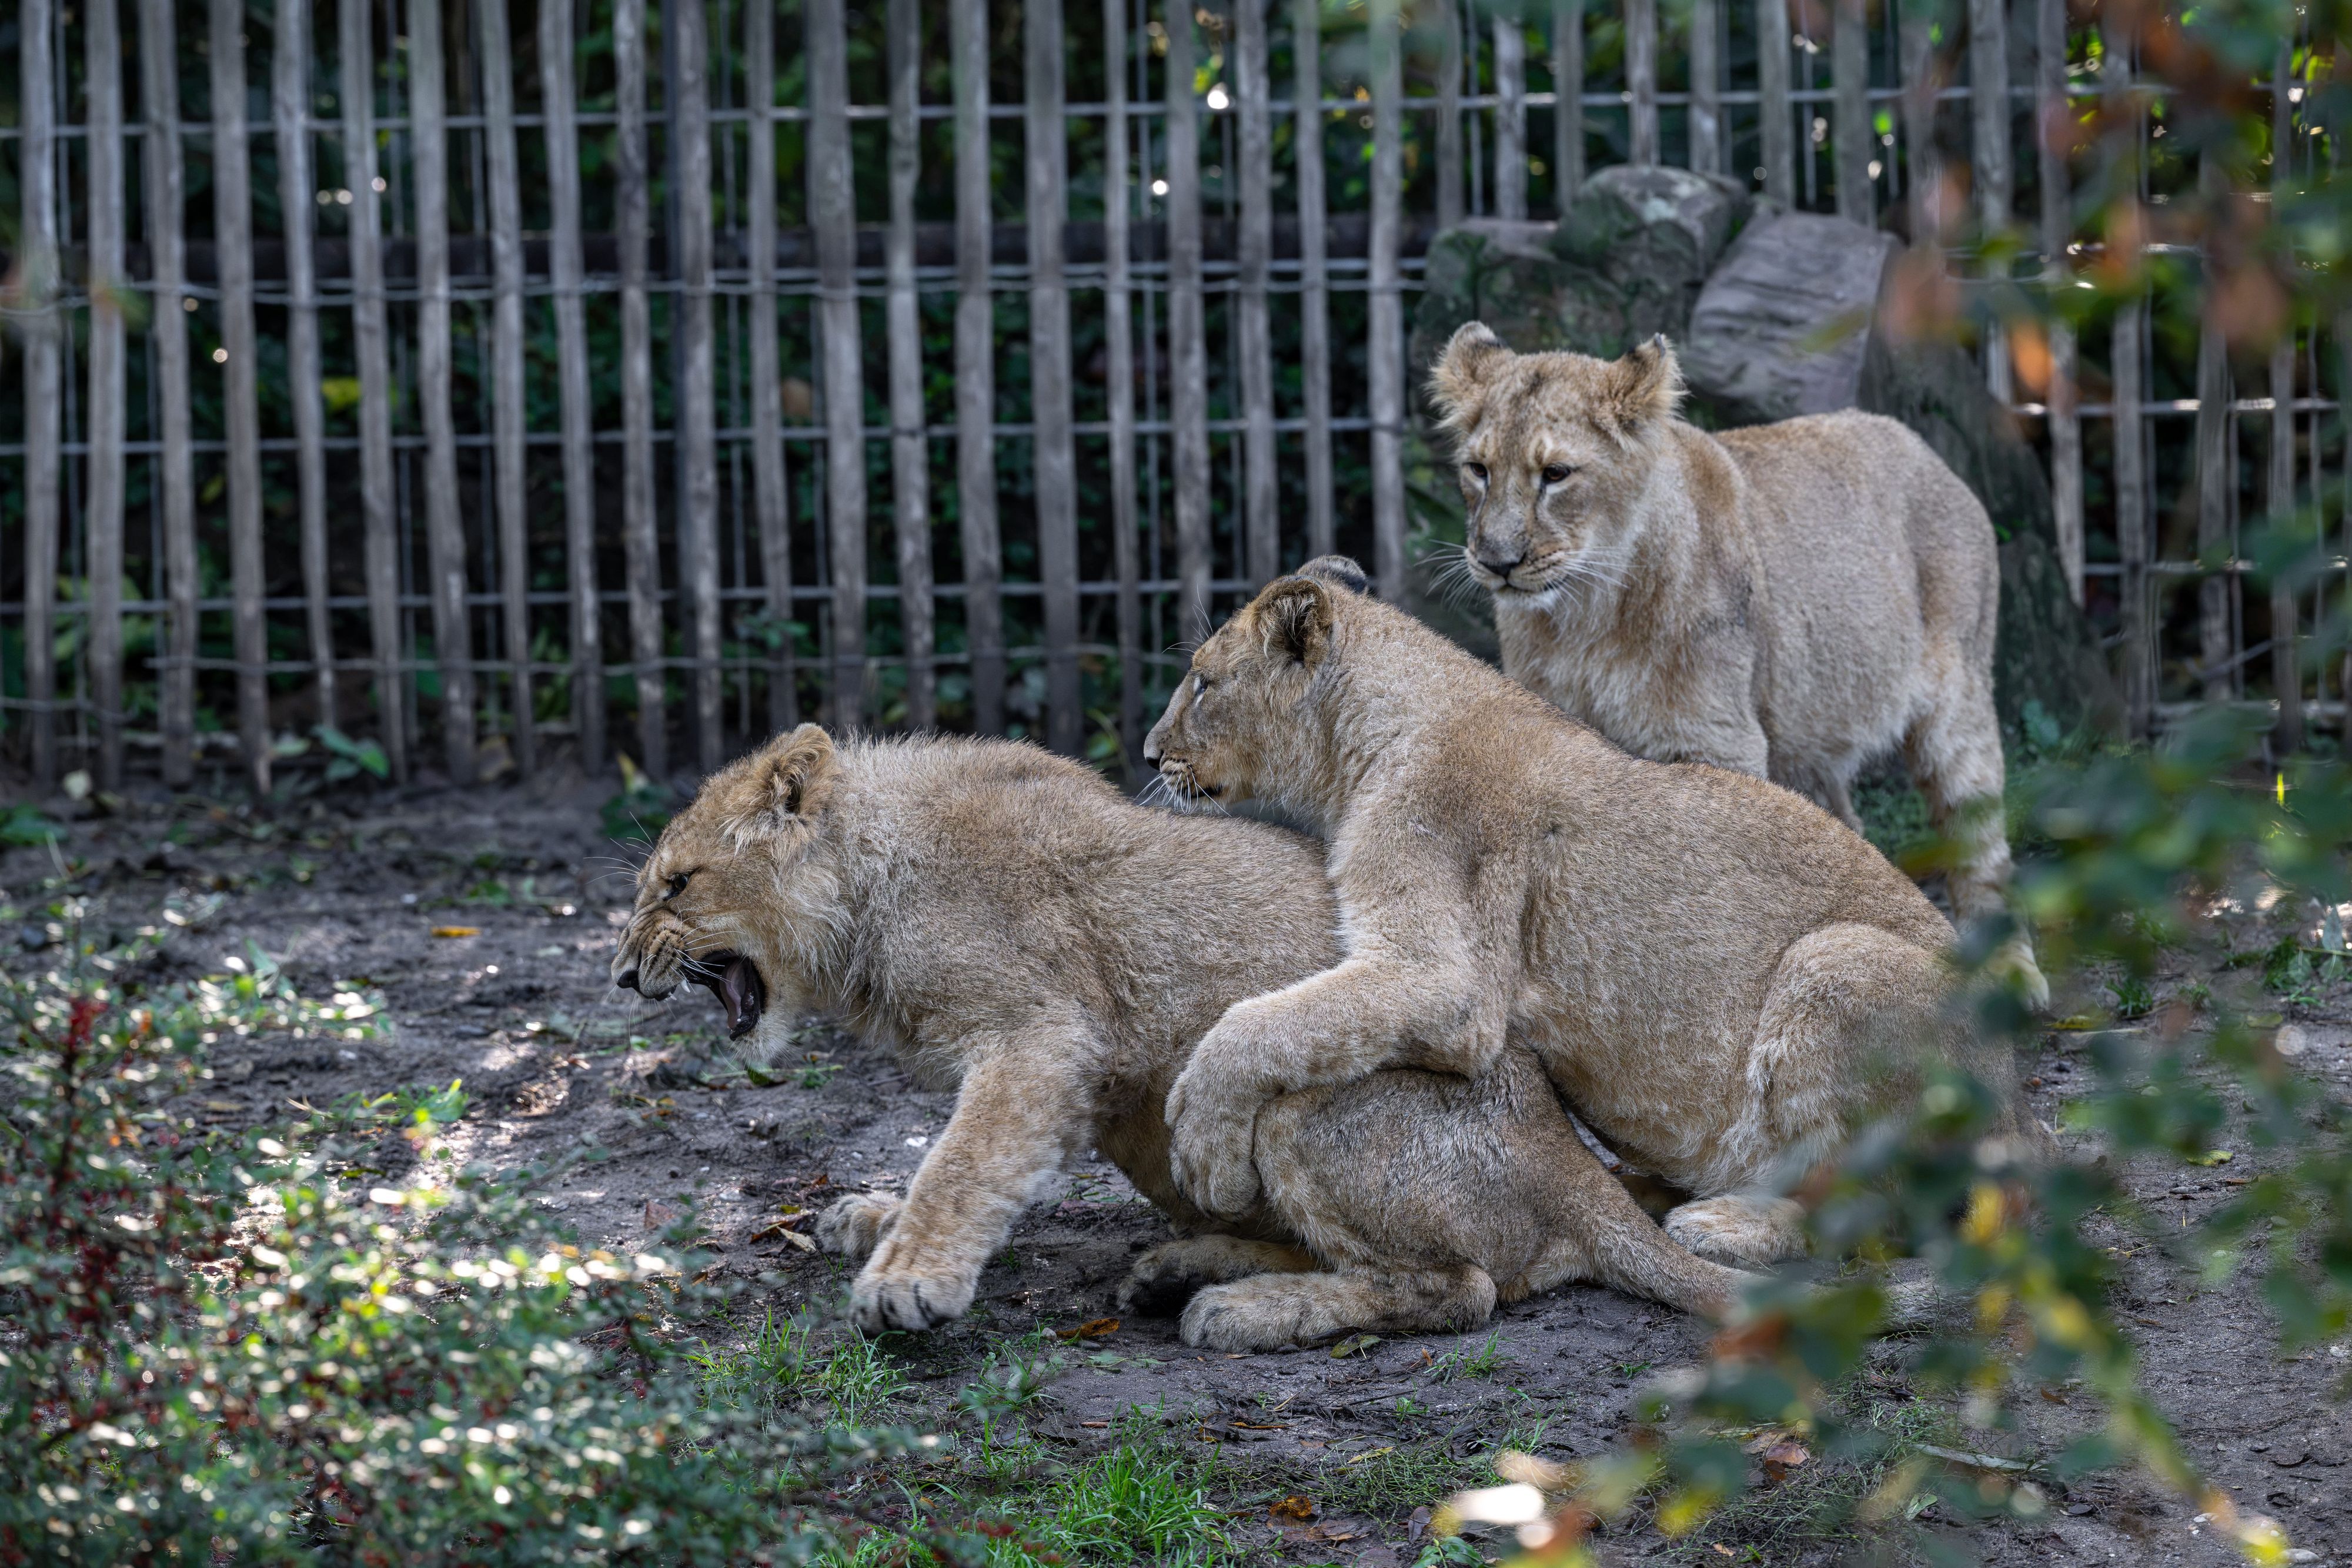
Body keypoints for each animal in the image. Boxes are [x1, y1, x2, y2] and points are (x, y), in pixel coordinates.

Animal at [608, 726, 1748, 1351]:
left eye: (678, 885)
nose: (621, 973)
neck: (865, 882)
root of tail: (1574, 1165)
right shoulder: (1080, 1079)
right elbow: (980, 1162)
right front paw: (876, 1218)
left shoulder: (1039, 1035)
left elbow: (965, 1160)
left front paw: (907, 1276)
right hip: (1150, 1121)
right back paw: (1183, 1267)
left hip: (1297, 1099)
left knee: (1459, 1289)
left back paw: (1244, 1310)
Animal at [1143, 561, 2054, 1266]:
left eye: (1203, 681)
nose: (1151, 753)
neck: (1361, 744)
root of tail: (2018, 1108)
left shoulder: (1445, 979)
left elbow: (1261, 1022)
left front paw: (1202, 1144)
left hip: (1834, 961)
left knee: (1882, 1213)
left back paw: (1722, 1223)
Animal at [1426, 324, 2044, 1006]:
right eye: (1478, 470)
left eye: (1556, 474)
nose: (1497, 561)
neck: (1583, 617)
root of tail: (1925, 450)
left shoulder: (1715, 742)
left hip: (1958, 703)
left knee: (1979, 843)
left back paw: (2010, 974)